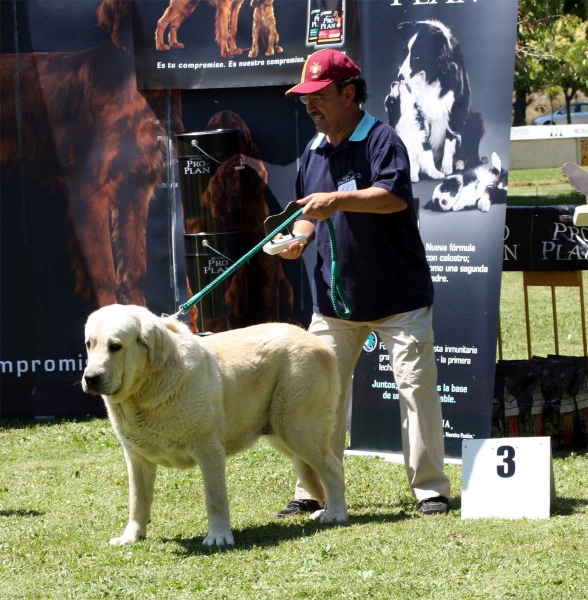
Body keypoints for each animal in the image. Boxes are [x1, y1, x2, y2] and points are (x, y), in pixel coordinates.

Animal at [84, 308, 350, 548]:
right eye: (89, 344)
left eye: (115, 346)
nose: (90, 377)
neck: (147, 388)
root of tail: (320, 344)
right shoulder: (136, 458)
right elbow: (137, 501)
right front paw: (131, 537)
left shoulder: (209, 450)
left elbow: (215, 498)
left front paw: (219, 537)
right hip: (284, 436)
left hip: (299, 432)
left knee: (333, 468)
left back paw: (336, 514)